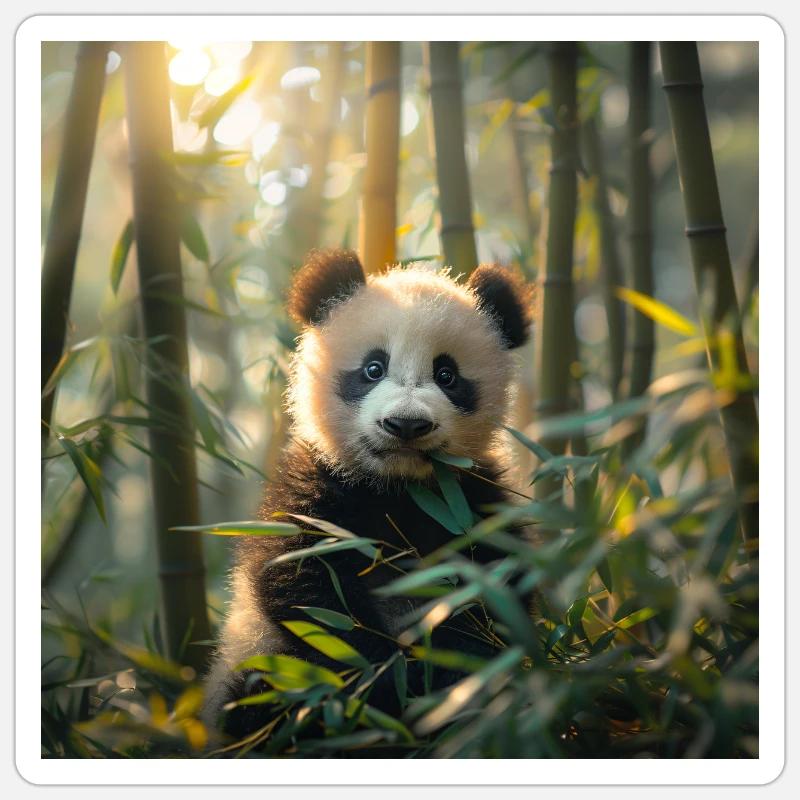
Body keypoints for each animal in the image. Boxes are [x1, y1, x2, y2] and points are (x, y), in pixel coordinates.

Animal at [203, 248, 533, 738]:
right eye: (373, 369)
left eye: (447, 375)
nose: (406, 424)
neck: (396, 488)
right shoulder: (316, 488)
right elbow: (309, 592)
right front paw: (386, 682)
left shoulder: (473, 501)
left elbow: (494, 596)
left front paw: (443, 682)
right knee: (254, 693)